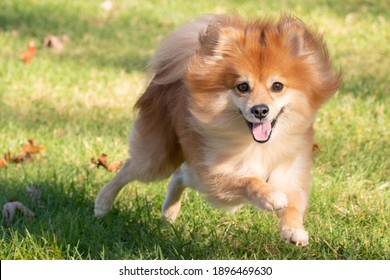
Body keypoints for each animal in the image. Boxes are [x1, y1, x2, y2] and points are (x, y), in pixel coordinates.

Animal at [94, 14, 342, 246]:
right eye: (242, 87)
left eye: (277, 86)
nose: (260, 110)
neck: (259, 145)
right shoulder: (215, 174)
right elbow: (249, 181)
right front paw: (271, 196)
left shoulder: (291, 172)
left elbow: (294, 203)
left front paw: (294, 230)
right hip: (158, 158)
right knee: (130, 169)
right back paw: (103, 203)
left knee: (180, 176)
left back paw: (169, 213)